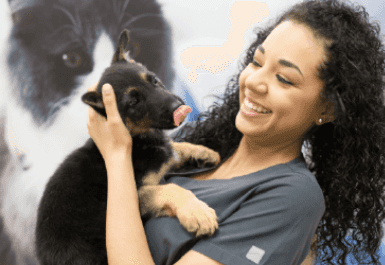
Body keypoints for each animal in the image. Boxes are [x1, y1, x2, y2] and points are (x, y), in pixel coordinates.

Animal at [36, 29, 219, 264]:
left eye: (154, 81)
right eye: (134, 102)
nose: (179, 107)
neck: (138, 140)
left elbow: (176, 148)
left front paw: (205, 153)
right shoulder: (137, 194)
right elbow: (170, 188)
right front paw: (197, 212)